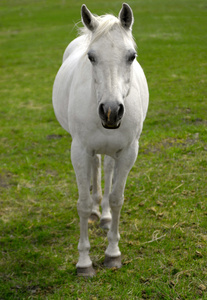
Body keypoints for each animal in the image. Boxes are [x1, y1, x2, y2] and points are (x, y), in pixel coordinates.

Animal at [52, 2, 148, 276]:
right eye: (91, 57)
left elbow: (117, 199)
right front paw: (84, 262)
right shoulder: (79, 151)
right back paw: (97, 211)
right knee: (95, 168)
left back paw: (104, 215)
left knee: (105, 168)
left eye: (132, 56)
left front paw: (113, 253)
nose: (111, 111)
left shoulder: (128, 152)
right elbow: (83, 203)